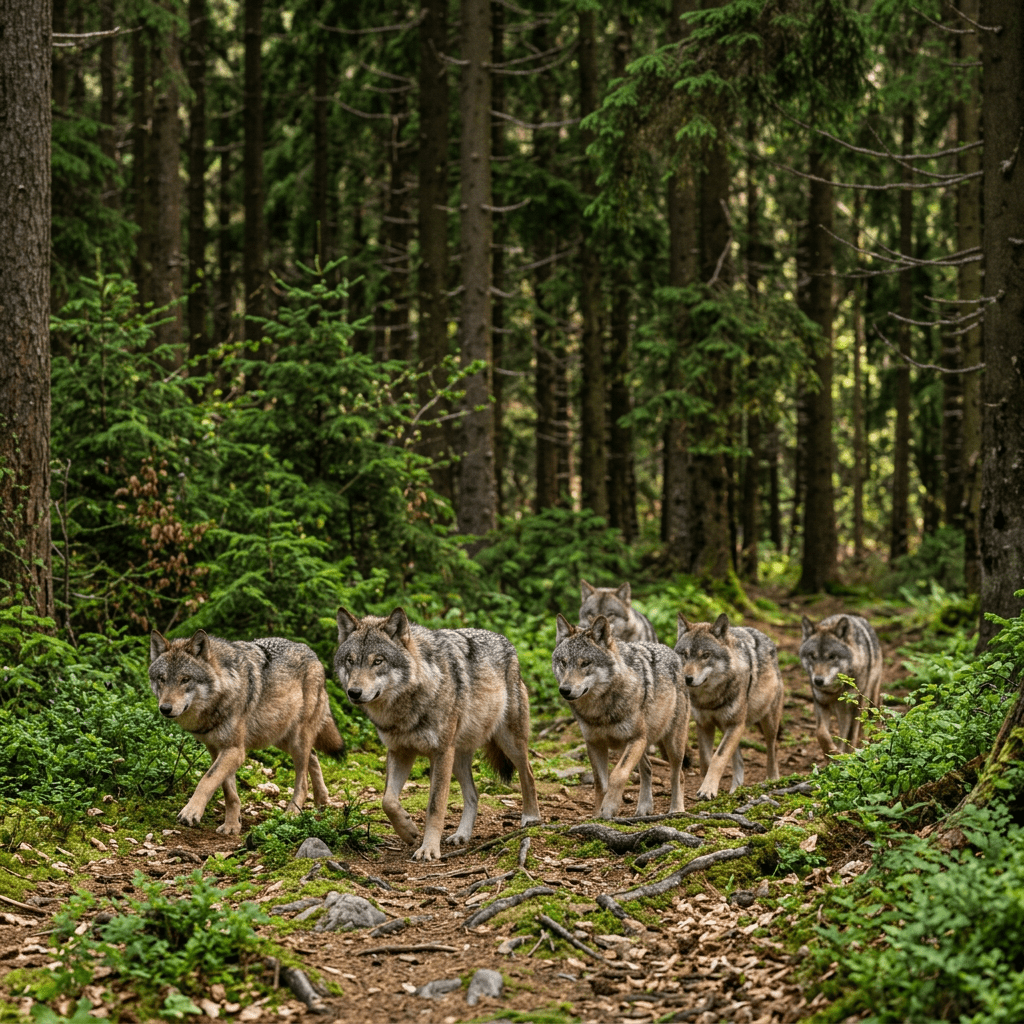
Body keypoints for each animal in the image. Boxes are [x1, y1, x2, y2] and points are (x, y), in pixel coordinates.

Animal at [149, 630, 345, 834]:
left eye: (185, 679)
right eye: (161, 679)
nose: (165, 708)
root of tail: (313, 654)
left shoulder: (235, 750)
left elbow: (206, 780)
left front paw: (190, 812)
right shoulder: (217, 749)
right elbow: (229, 792)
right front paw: (232, 826)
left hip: (296, 741)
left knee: (303, 781)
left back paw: (292, 814)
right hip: (279, 737)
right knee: (313, 757)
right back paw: (321, 801)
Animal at [334, 608, 541, 862]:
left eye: (378, 661)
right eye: (350, 661)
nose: (354, 692)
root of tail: (506, 641)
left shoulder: (441, 753)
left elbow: (435, 806)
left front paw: (429, 849)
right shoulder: (400, 752)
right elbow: (388, 801)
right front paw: (408, 830)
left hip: (509, 744)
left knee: (528, 774)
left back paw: (531, 818)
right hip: (459, 758)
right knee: (473, 795)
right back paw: (462, 835)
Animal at [552, 614, 690, 818]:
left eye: (585, 663)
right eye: (563, 662)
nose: (565, 690)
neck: (599, 711)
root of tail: (671, 651)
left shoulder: (636, 739)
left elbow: (618, 775)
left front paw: (609, 808)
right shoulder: (595, 744)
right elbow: (600, 783)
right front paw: (597, 815)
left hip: (672, 743)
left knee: (678, 774)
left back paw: (676, 810)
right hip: (643, 745)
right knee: (648, 769)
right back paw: (643, 809)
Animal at [674, 613, 783, 800]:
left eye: (706, 655)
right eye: (684, 654)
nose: (687, 678)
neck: (710, 699)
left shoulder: (736, 724)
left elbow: (718, 757)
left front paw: (707, 789)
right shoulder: (704, 725)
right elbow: (706, 759)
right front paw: (706, 785)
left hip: (767, 723)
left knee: (772, 750)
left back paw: (772, 780)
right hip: (730, 728)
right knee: (739, 760)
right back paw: (736, 790)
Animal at [799, 614, 883, 754]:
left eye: (832, 657)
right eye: (812, 656)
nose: (818, 681)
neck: (834, 691)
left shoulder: (853, 708)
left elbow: (850, 736)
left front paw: (845, 755)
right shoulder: (820, 703)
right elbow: (821, 733)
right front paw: (831, 753)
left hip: (867, 700)